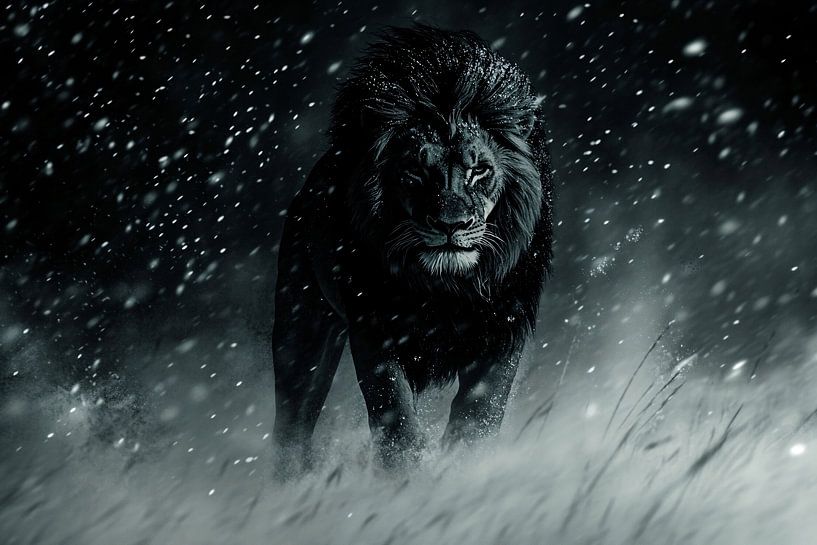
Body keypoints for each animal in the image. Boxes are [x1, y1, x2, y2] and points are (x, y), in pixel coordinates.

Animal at [272, 25, 553, 472]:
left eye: (479, 170)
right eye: (415, 171)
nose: (451, 224)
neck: (444, 289)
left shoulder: (504, 326)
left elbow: (480, 411)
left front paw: (467, 469)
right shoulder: (374, 329)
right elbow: (394, 411)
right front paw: (406, 473)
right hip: (301, 329)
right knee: (293, 423)